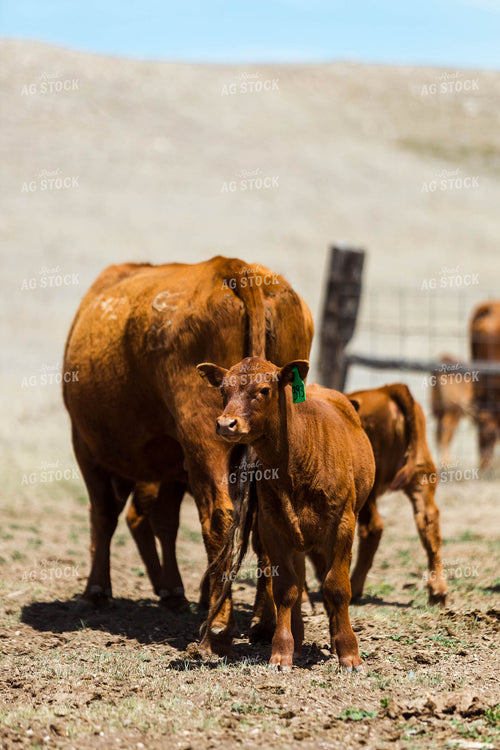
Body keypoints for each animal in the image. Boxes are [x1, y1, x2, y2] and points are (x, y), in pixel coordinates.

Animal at [62, 257, 313, 654]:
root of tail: (235, 268)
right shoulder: (173, 465)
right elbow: (164, 520)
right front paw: (176, 592)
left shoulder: (86, 446)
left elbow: (104, 515)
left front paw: (97, 590)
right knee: (261, 526)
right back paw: (263, 622)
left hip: (204, 437)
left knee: (218, 516)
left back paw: (220, 627)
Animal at [197, 357, 376, 672]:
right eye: (223, 390)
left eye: (264, 390)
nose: (225, 423)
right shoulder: (272, 529)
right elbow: (285, 589)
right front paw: (282, 651)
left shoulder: (343, 525)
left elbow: (336, 587)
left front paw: (349, 653)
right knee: (298, 579)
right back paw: (300, 641)